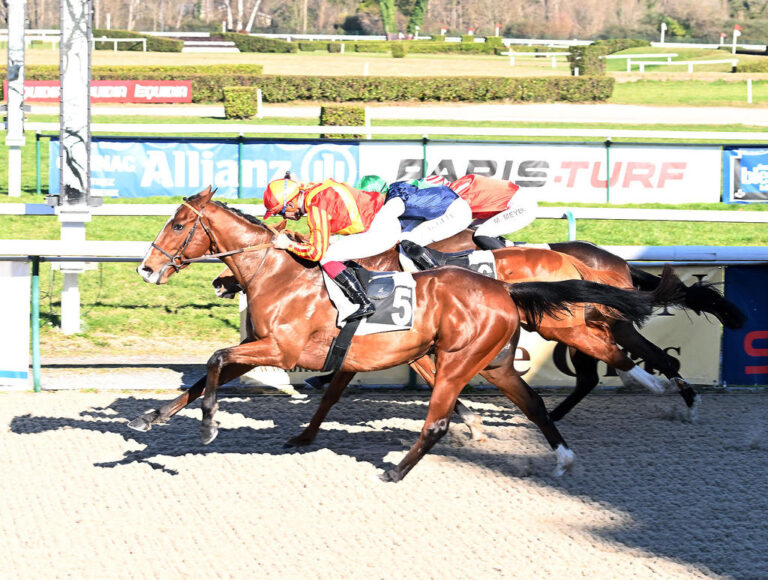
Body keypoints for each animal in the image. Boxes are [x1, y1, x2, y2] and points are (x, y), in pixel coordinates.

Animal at [134, 186, 660, 480]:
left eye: (178, 224)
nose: (146, 269)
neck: (282, 276)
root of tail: (506, 289)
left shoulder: (281, 351)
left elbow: (216, 360)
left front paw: (208, 424)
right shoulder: (288, 349)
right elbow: (210, 373)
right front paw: (153, 416)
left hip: (481, 353)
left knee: (442, 418)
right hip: (494, 362)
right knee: (532, 403)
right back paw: (564, 456)